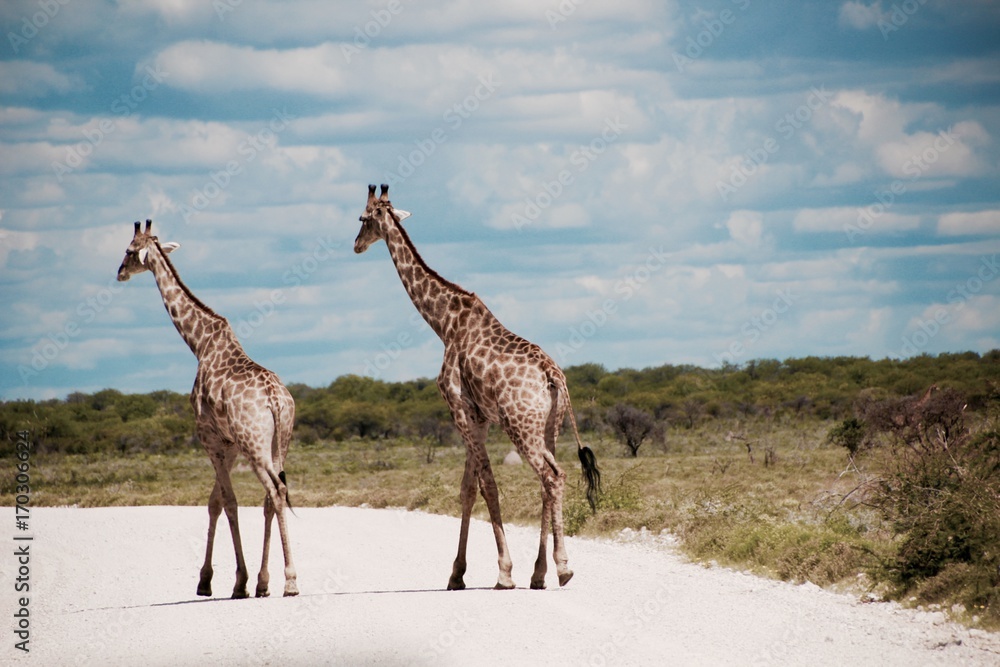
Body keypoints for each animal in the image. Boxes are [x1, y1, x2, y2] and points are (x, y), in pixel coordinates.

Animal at [116, 220, 298, 598]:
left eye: (129, 250)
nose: (119, 273)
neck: (199, 344)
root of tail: (275, 399)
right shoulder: (228, 444)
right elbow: (215, 501)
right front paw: (214, 580)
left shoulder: (209, 437)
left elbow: (227, 502)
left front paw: (234, 581)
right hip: (280, 442)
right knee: (274, 495)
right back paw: (268, 581)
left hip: (256, 446)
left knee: (274, 492)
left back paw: (289, 581)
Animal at [354, 185, 601, 590]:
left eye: (363, 218)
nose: (356, 245)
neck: (444, 323)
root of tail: (553, 374)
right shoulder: (479, 418)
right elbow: (468, 489)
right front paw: (457, 574)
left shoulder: (460, 411)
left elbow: (487, 486)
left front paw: (503, 572)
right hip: (550, 426)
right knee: (551, 480)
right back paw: (540, 573)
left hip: (521, 426)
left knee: (551, 477)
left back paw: (562, 569)